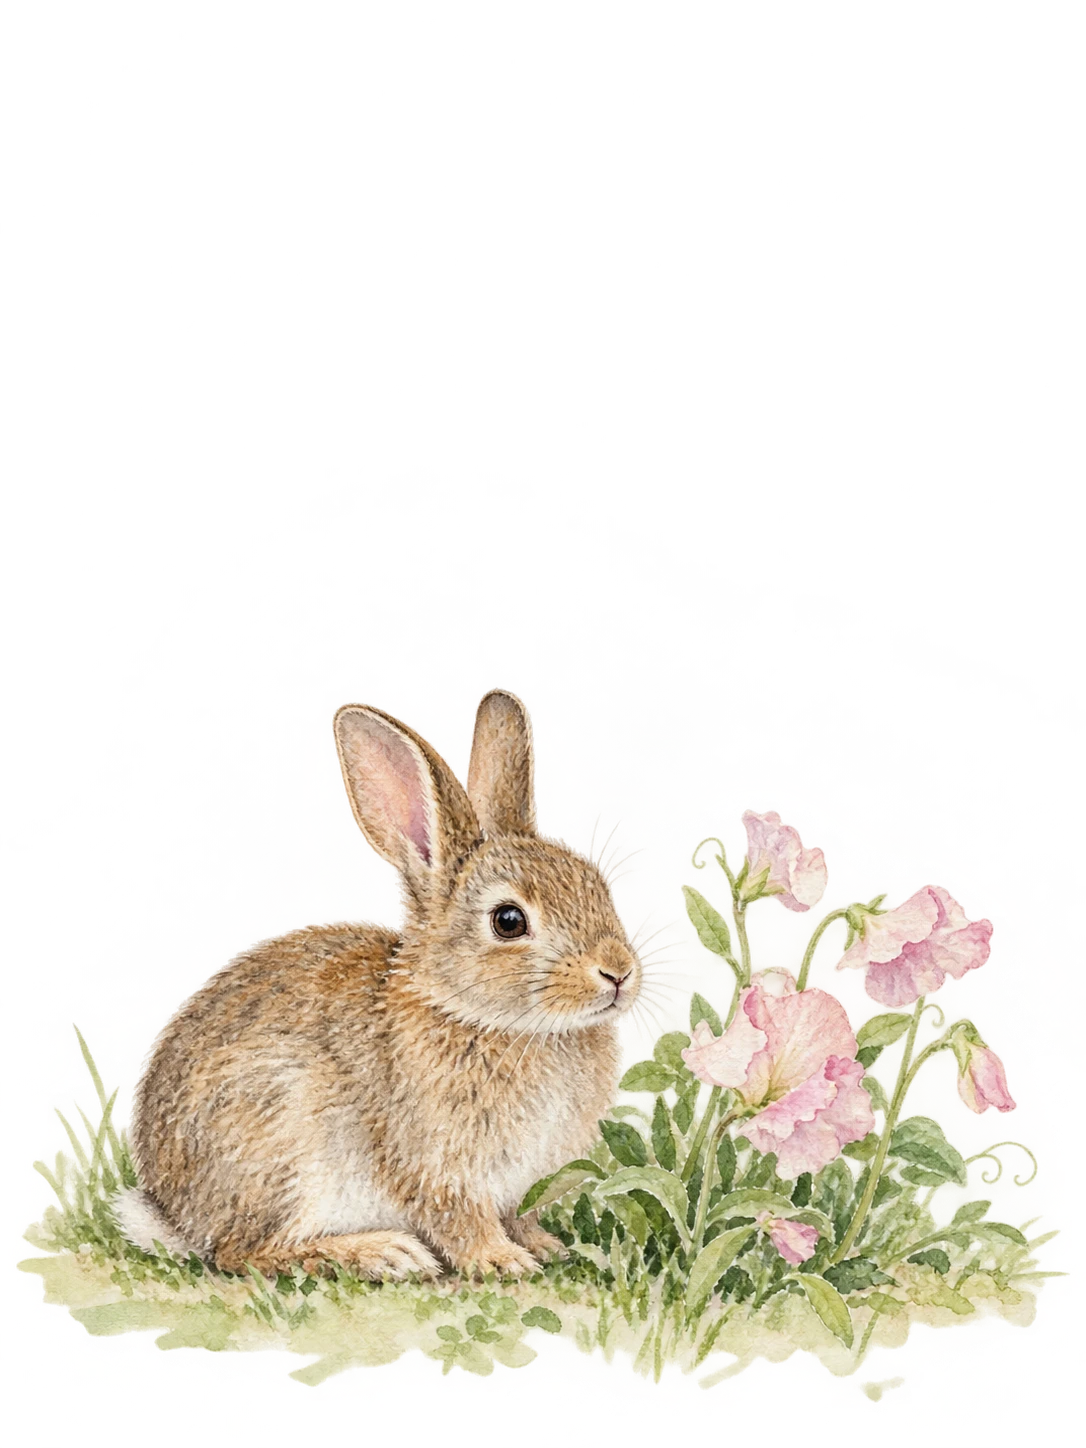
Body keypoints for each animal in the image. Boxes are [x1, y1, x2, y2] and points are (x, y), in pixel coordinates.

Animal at [112, 687, 639, 1281]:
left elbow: (516, 1216)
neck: (479, 1014)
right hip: (286, 1146)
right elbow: (462, 1223)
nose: (617, 972)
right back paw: (384, 1253)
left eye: (596, 887)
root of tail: (174, 1216)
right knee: (241, 1253)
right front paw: (502, 1261)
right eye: (508, 921)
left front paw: (544, 1246)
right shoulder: (438, 1168)